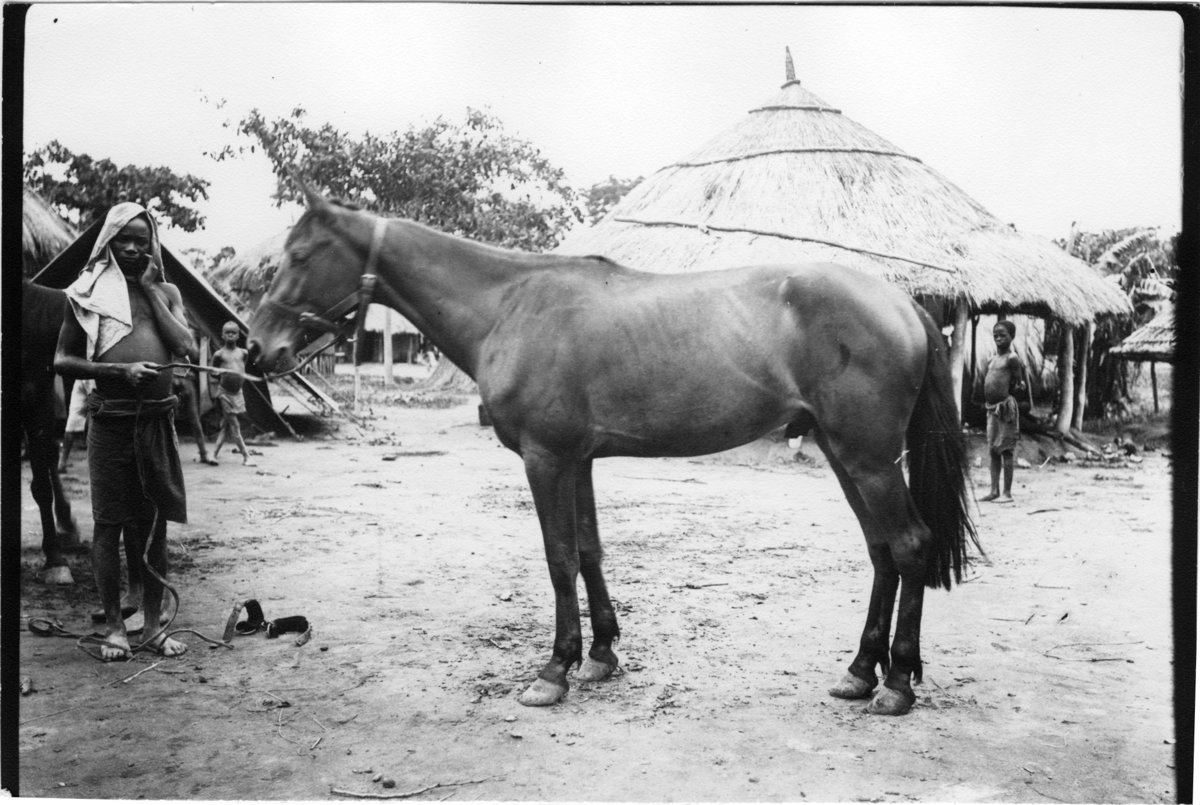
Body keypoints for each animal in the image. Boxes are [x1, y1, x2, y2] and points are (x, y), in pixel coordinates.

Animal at [248, 184, 979, 717]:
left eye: (303, 254)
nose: (258, 348)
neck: (510, 305)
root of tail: (903, 302)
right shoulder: (577, 461)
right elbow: (590, 551)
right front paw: (600, 654)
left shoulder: (545, 459)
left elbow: (559, 557)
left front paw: (554, 669)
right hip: (842, 452)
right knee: (882, 551)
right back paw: (860, 671)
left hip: (868, 459)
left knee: (908, 545)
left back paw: (897, 684)